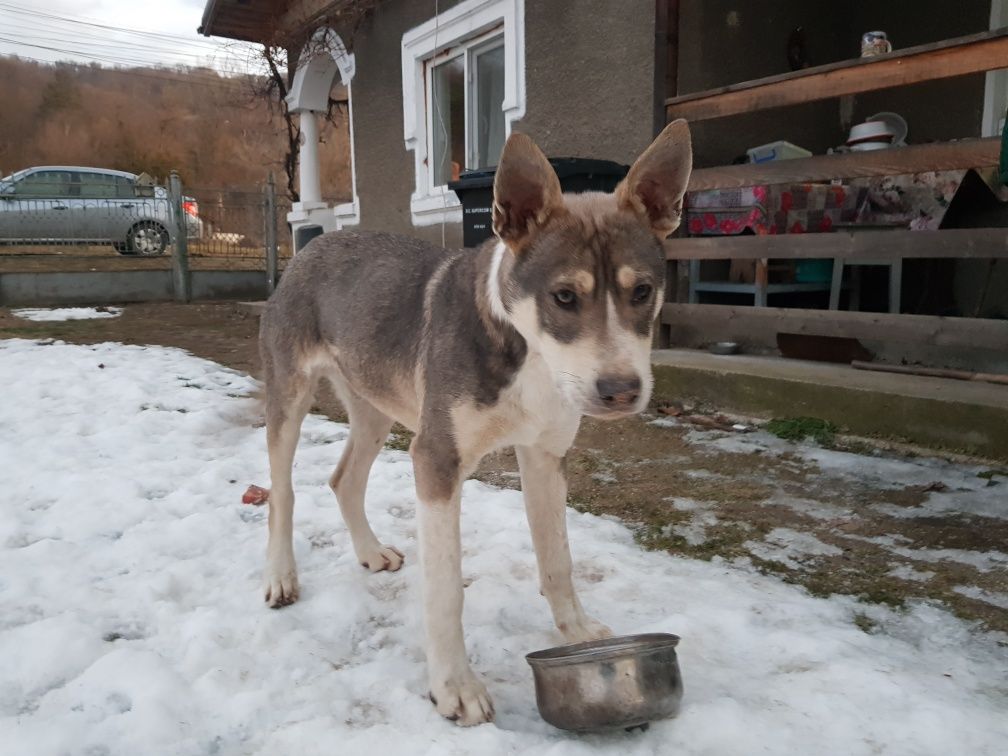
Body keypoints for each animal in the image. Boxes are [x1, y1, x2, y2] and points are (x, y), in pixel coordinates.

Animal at [258, 119, 693, 729]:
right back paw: (280, 575)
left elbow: (558, 560)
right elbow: (446, 593)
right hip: (290, 398)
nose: (621, 392)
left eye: (643, 291)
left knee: (344, 479)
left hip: (375, 409)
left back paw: (370, 552)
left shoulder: (545, 458)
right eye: (564, 296)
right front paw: (454, 687)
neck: (525, 351)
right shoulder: (436, 460)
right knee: (282, 491)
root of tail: (311, 245)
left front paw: (578, 632)